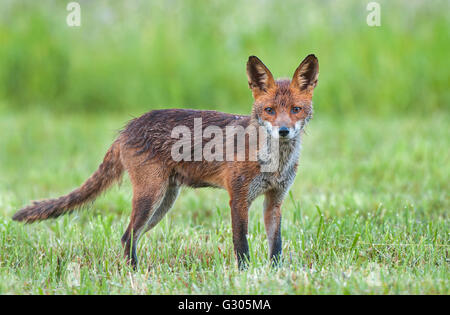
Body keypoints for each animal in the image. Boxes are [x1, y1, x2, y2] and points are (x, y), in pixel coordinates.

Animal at [12, 54, 318, 270]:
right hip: (151, 197)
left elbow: (276, 247)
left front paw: (276, 276)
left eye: (296, 110)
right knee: (127, 236)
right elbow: (241, 246)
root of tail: (127, 128)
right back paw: (134, 276)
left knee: (130, 237)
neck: (274, 163)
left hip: (162, 204)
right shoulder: (238, 198)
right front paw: (244, 277)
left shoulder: (275, 201)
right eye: (269, 110)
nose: (283, 131)